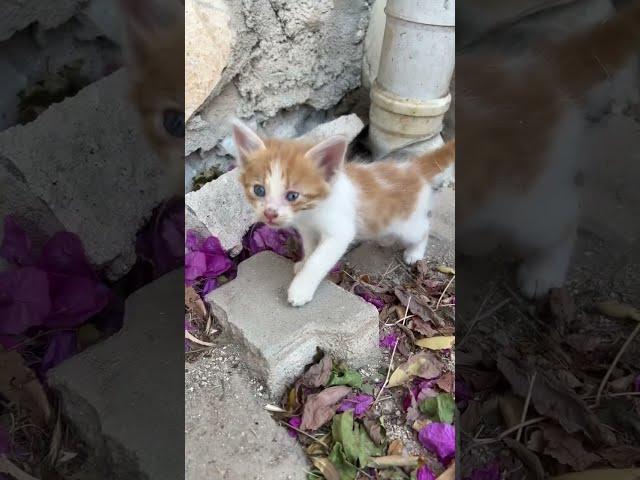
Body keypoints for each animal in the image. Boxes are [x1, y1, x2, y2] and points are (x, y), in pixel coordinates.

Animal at [230, 122, 456, 306]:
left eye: (292, 195)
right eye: (259, 190)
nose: (269, 213)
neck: (311, 211)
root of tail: (412, 168)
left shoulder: (339, 233)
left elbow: (318, 260)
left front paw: (301, 288)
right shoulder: (308, 230)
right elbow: (310, 249)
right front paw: (303, 263)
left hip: (408, 223)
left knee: (423, 229)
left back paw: (414, 252)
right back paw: (386, 239)